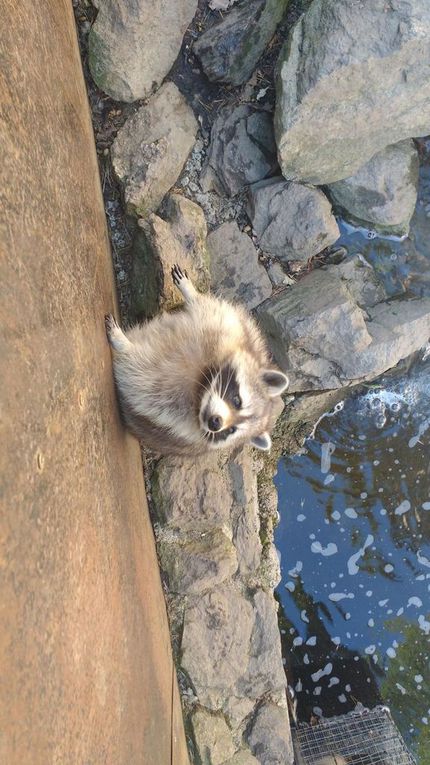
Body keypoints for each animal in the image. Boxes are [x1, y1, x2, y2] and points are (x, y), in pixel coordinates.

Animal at [105, 262, 288, 454]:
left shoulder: (173, 414)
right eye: (237, 401)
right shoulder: (232, 329)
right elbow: (204, 306)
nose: (215, 423)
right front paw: (190, 291)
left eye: (231, 430)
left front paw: (123, 345)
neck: (206, 378)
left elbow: (136, 374)